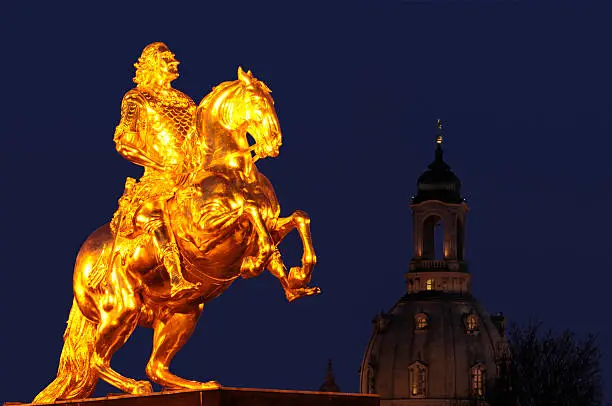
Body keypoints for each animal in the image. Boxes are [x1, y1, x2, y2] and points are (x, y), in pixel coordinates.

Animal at [34, 69, 320, 402]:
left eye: (270, 100)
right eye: (255, 101)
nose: (274, 142)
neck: (231, 172)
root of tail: (83, 263)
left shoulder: (273, 222)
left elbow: (297, 218)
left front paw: (297, 277)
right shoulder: (203, 235)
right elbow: (249, 212)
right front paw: (258, 260)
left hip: (184, 313)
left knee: (155, 367)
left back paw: (198, 386)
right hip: (122, 309)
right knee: (97, 360)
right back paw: (136, 387)